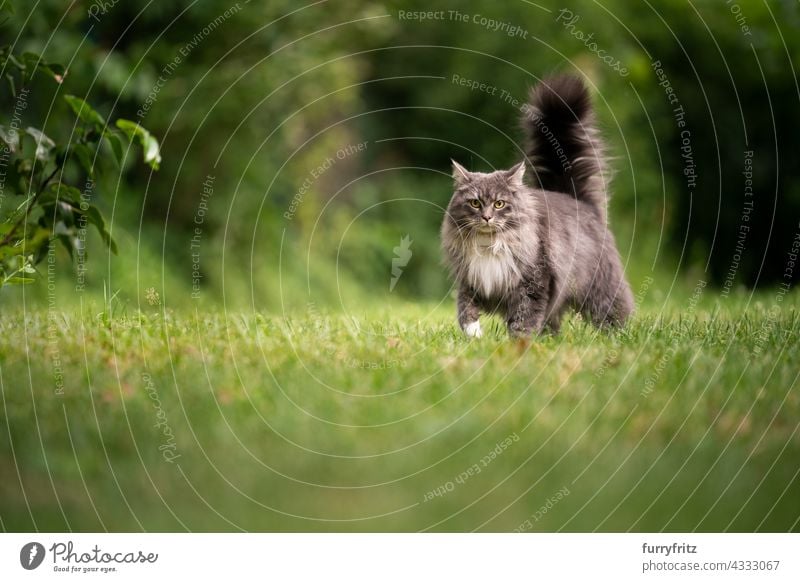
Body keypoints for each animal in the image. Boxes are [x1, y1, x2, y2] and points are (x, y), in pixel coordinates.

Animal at [440, 73, 636, 340]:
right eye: (475, 203)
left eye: (499, 204)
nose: (487, 217)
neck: (490, 244)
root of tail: (577, 200)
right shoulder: (471, 280)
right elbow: (465, 309)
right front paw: (474, 335)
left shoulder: (535, 280)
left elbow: (525, 317)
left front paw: (519, 342)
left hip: (600, 287)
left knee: (614, 311)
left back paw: (618, 336)